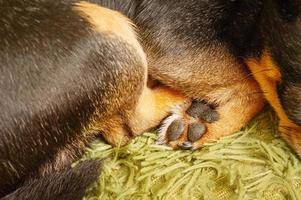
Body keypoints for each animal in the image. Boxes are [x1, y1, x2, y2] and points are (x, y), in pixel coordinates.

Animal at [1, 0, 300, 199]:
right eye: (296, 110)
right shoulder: (168, 34)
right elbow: (254, 85)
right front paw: (204, 120)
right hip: (105, 25)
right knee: (131, 123)